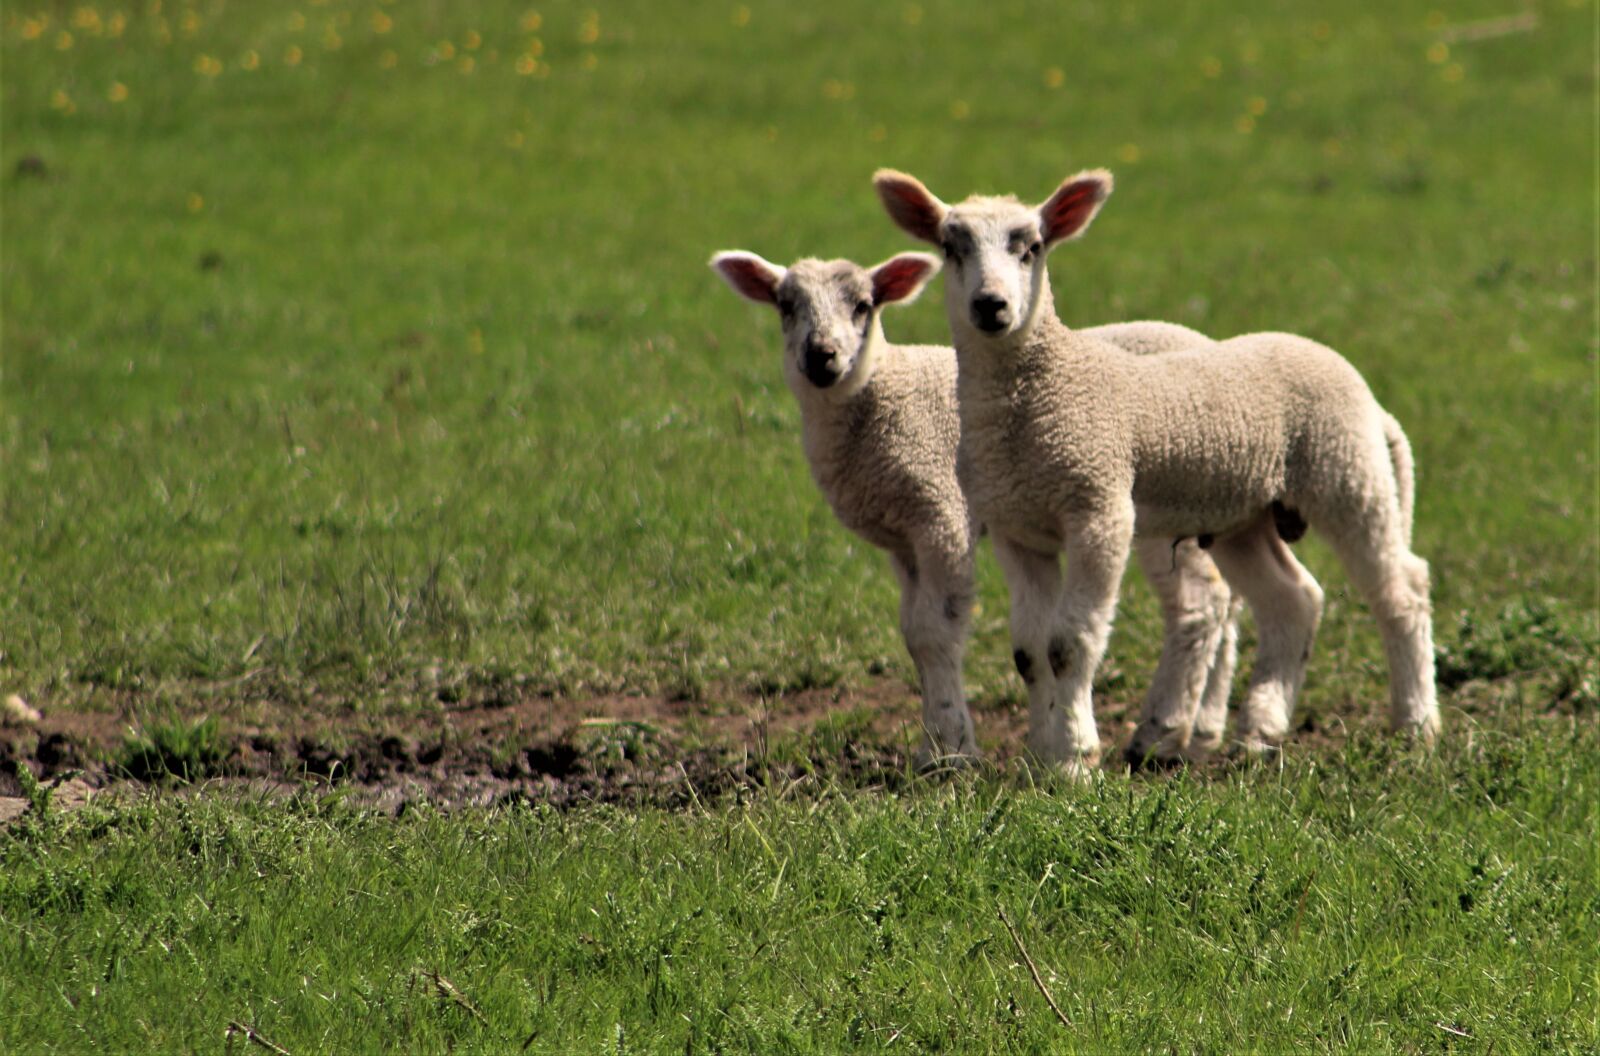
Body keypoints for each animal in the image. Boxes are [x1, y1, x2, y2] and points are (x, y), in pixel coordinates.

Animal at [711, 250, 1242, 766]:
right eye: (786, 306)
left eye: (863, 305)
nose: (822, 355)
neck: (878, 397)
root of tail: (1205, 341)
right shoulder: (903, 541)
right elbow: (912, 634)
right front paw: (935, 743)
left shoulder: (940, 514)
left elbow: (934, 632)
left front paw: (950, 750)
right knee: (1224, 599)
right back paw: (1205, 731)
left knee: (1199, 603)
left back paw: (1161, 733)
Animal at [873, 167, 1439, 772]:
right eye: (950, 248)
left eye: (1032, 248)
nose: (990, 306)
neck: (1034, 402)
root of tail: (1371, 402)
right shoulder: (1016, 527)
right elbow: (1029, 651)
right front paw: (1044, 753)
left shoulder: (1099, 507)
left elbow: (1068, 644)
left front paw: (1075, 758)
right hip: (1245, 513)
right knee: (1293, 599)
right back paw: (1259, 731)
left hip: (1347, 472)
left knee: (1402, 590)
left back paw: (1416, 725)